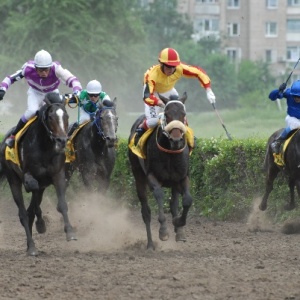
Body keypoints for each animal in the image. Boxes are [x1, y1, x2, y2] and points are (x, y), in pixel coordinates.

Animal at [0, 92, 77, 255]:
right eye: (50, 117)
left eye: (66, 116)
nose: (62, 140)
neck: (45, 146)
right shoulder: (29, 175)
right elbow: (32, 190)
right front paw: (41, 224)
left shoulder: (57, 175)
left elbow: (62, 204)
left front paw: (70, 233)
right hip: (13, 179)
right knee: (23, 213)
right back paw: (32, 247)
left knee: (31, 206)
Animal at [127, 92, 192, 250]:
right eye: (167, 114)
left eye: (183, 114)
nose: (176, 139)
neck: (170, 153)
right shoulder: (152, 176)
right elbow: (159, 195)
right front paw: (163, 231)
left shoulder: (182, 177)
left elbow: (187, 200)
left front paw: (179, 224)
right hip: (138, 175)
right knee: (146, 212)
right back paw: (150, 244)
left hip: (174, 183)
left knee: (173, 204)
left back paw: (179, 231)